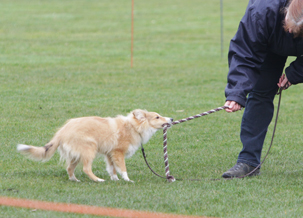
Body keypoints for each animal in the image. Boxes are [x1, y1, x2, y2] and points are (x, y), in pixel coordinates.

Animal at [17, 109, 173, 182]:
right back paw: (98, 180)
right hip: (89, 150)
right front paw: (128, 180)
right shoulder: (118, 153)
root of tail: (61, 132)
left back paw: (75, 180)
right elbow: (123, 169)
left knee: (69, 168)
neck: (134, 127)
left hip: (77, 155)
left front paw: (115, 180)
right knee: (86, 169)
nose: (171, 118)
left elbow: (112, 169)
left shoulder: (110, 154)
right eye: (157, 117)